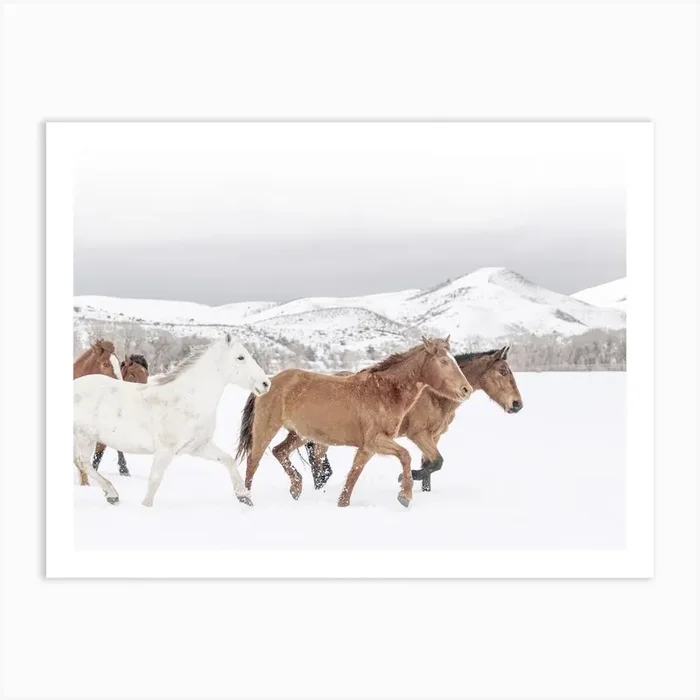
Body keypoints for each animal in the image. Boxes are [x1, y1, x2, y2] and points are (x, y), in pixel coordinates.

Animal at [73, 333, 271, 507]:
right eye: (240, 357)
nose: (266, 384)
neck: (188, 399)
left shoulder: (197, 447)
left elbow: (228, 460)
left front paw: (244, 497)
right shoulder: (165, 450)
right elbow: (155, 479)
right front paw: (145, 507)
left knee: (80, 463)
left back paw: (111, 494)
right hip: (85, 437)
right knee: (83, 463)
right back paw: (112, 494)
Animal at [235, 336, 473, 508]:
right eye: (444, 361)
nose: (466, 390)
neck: (383, 392)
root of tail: (267, 382)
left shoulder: (368, 447)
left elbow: (353, 475)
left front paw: (343, 504)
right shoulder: (376, 440)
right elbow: (405, 455)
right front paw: (404, 496)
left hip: (300, 435)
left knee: (280, 451)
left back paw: (296, 488)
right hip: (266, 428)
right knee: (253, 462)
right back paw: (246, 499)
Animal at [304, 346, 523, 492]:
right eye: (503, 371)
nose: (517, 404)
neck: (435, 394)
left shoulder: (434, 436)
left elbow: (430, 466)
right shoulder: (419, 435)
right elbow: (437, 462)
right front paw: (404, 477)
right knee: (317, 464)